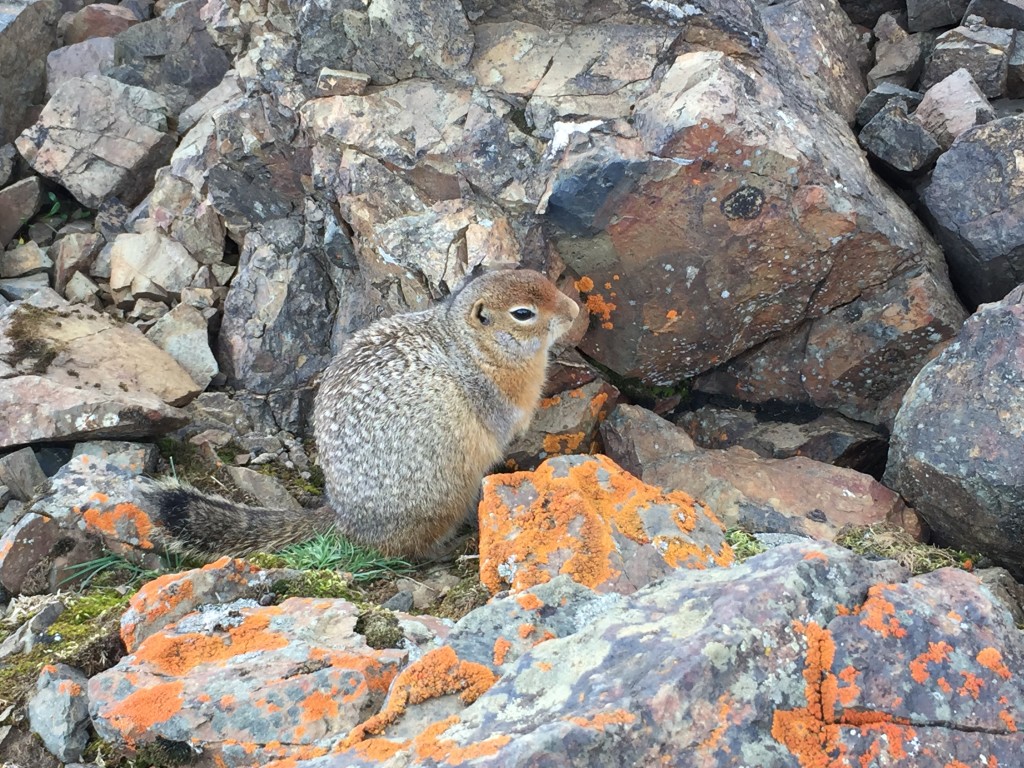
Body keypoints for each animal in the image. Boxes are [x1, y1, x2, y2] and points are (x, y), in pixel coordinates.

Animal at [144, 268, 581, 561]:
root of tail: (344, 516)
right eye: (523, 313)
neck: (470, 344)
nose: (575, 310)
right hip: (442, 496)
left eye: (541, 277)